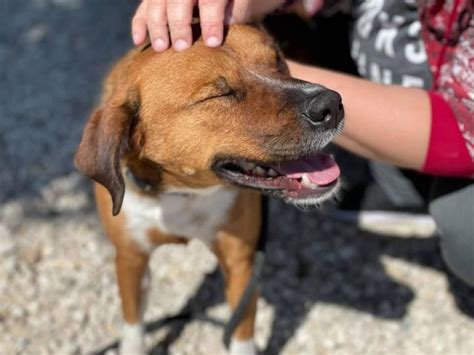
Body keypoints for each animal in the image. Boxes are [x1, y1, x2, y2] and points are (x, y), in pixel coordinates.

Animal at [76, 25, 344, 355]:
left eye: (278, 61)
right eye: (219, 94)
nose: (332, 104)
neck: (183, 193)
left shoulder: (241, 261)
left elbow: (241, 332)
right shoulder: (130, 257)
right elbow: (133, 326)